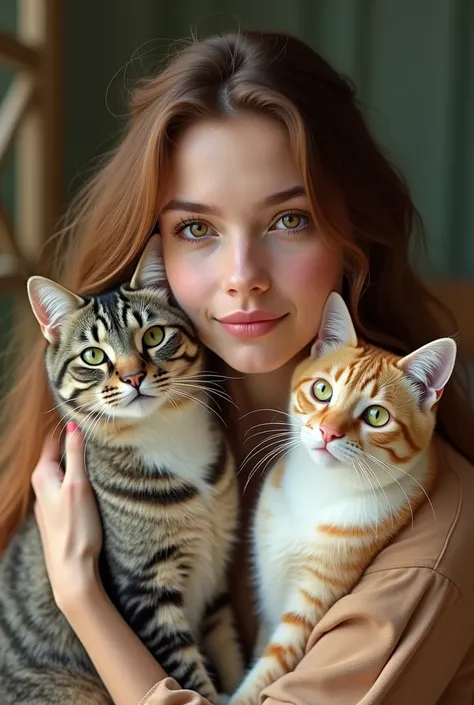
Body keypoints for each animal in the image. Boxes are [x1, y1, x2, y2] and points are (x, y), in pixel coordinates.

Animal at [0, 236, 244, 704]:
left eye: (154, 335)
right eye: (94, 356)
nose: (133, 377)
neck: (165, 433)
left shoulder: (219, 577)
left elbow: (228, 649)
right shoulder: (144, 590)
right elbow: (187, 675)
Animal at [230, 292, 456, 704]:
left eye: (377, 416)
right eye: (322, 391)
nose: (328, 432)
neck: (319, 488)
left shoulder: (315, 598)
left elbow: (270, 668)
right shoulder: (271, 589)